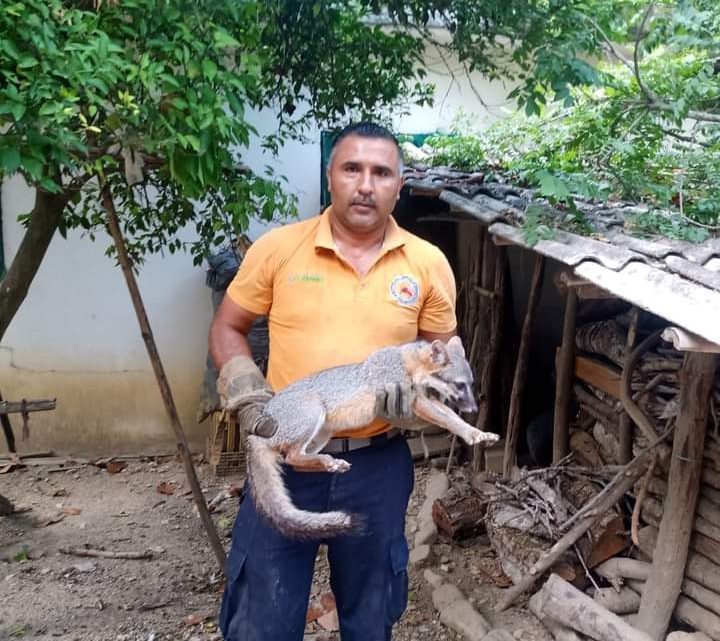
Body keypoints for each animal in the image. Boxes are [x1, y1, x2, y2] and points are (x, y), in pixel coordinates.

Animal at [245, 338, 498, 536]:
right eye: (460, 385)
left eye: (471, 384)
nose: (475, 408)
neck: (406, 362)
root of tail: (260, 426)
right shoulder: (416, 401)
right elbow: (449, 421)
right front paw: (473, 434)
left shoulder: (424, 400)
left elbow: (455, 420)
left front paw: (478, 433)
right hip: (313, 416)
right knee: (292, 457)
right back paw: (328, 461)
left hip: (322, 435)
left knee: (296, 460)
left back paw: (332, 464)